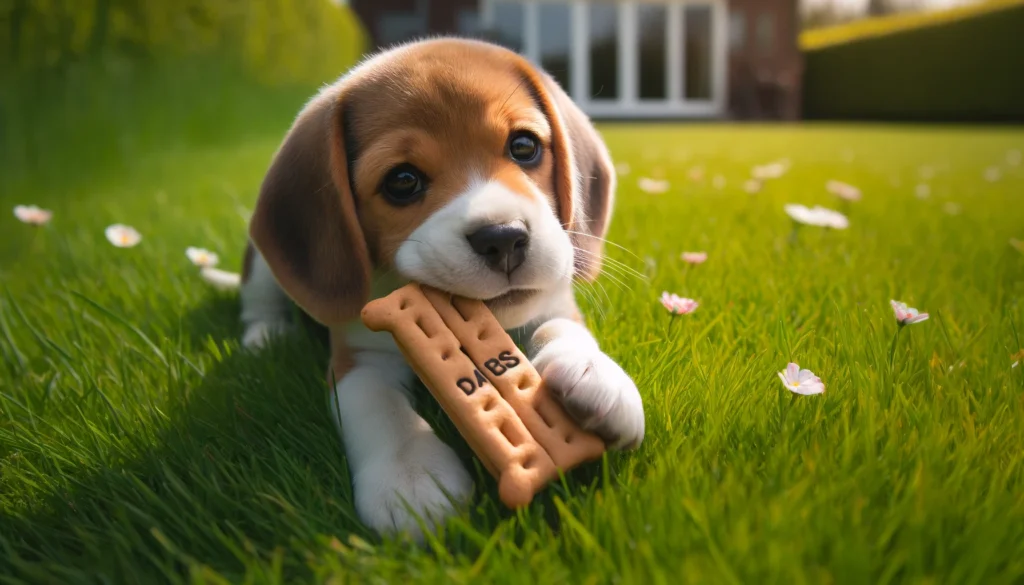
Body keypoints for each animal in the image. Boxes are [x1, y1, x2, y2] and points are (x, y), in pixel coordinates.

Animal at [236, 36, 643, 540]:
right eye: (402, 181)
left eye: (524, 146)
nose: (503, 238)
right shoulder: (358, 359)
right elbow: (379, 407)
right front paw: (409, 476)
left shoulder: (555, 304)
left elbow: (561, 329)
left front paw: (594, 372)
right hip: (259, 266)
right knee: (258, 303)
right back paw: (265, 338)